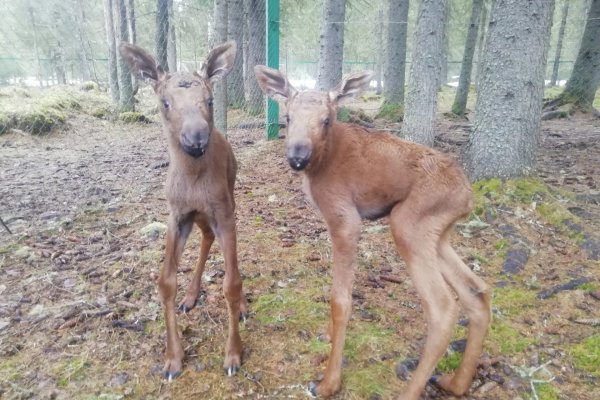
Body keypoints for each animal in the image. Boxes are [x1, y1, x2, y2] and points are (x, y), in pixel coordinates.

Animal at [119, 41, 246, 382]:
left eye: (210, 100)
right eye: (165, 102)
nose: (196, 137)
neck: (193, 182)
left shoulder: (223, 212)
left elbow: (232, 283)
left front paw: (233, 354)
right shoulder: (176, 214)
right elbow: (165, 282)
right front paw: (172, 358)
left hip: (229, 195)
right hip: (196, 217)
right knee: (205, 237)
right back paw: (190, 296)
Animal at [254, 65, 492, 400]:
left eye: (326, 120)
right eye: (287, 118)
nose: (297, 157)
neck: (320, 166)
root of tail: (468, 197)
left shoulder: (346, 219)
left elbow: (341, 299)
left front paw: (329, 381)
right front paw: (327, 336)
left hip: (407, 224)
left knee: (443, 306)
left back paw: (410, 392)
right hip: (438, 232)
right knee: (477, 289)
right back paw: (456, 382)